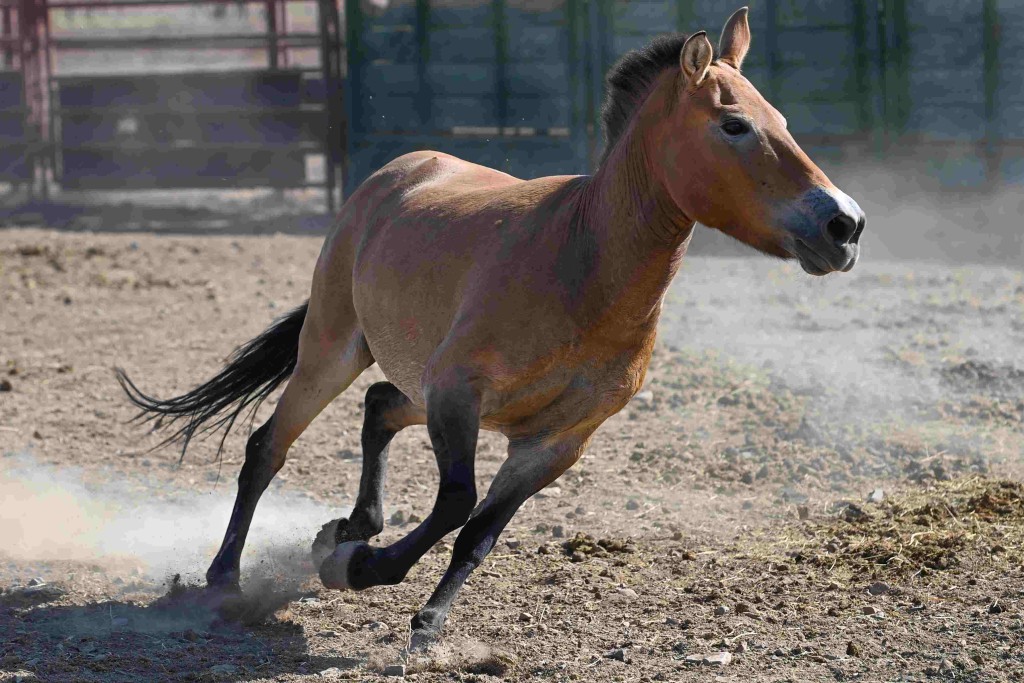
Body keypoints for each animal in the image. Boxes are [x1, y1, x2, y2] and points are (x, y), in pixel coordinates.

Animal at [117, 7, 864, 651]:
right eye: (734, 125)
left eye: (781, 120)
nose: (845, 224)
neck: (581, 266)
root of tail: (399, 172)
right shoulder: (459, 392)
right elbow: (456, 502)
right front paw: (355, 566)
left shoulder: (555, 442)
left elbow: (480, 532)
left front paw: (420, 614)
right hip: (333, 349)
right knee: (267, 446)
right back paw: (225, 577)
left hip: (410, 377)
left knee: (379, 406)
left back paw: (348, 526)